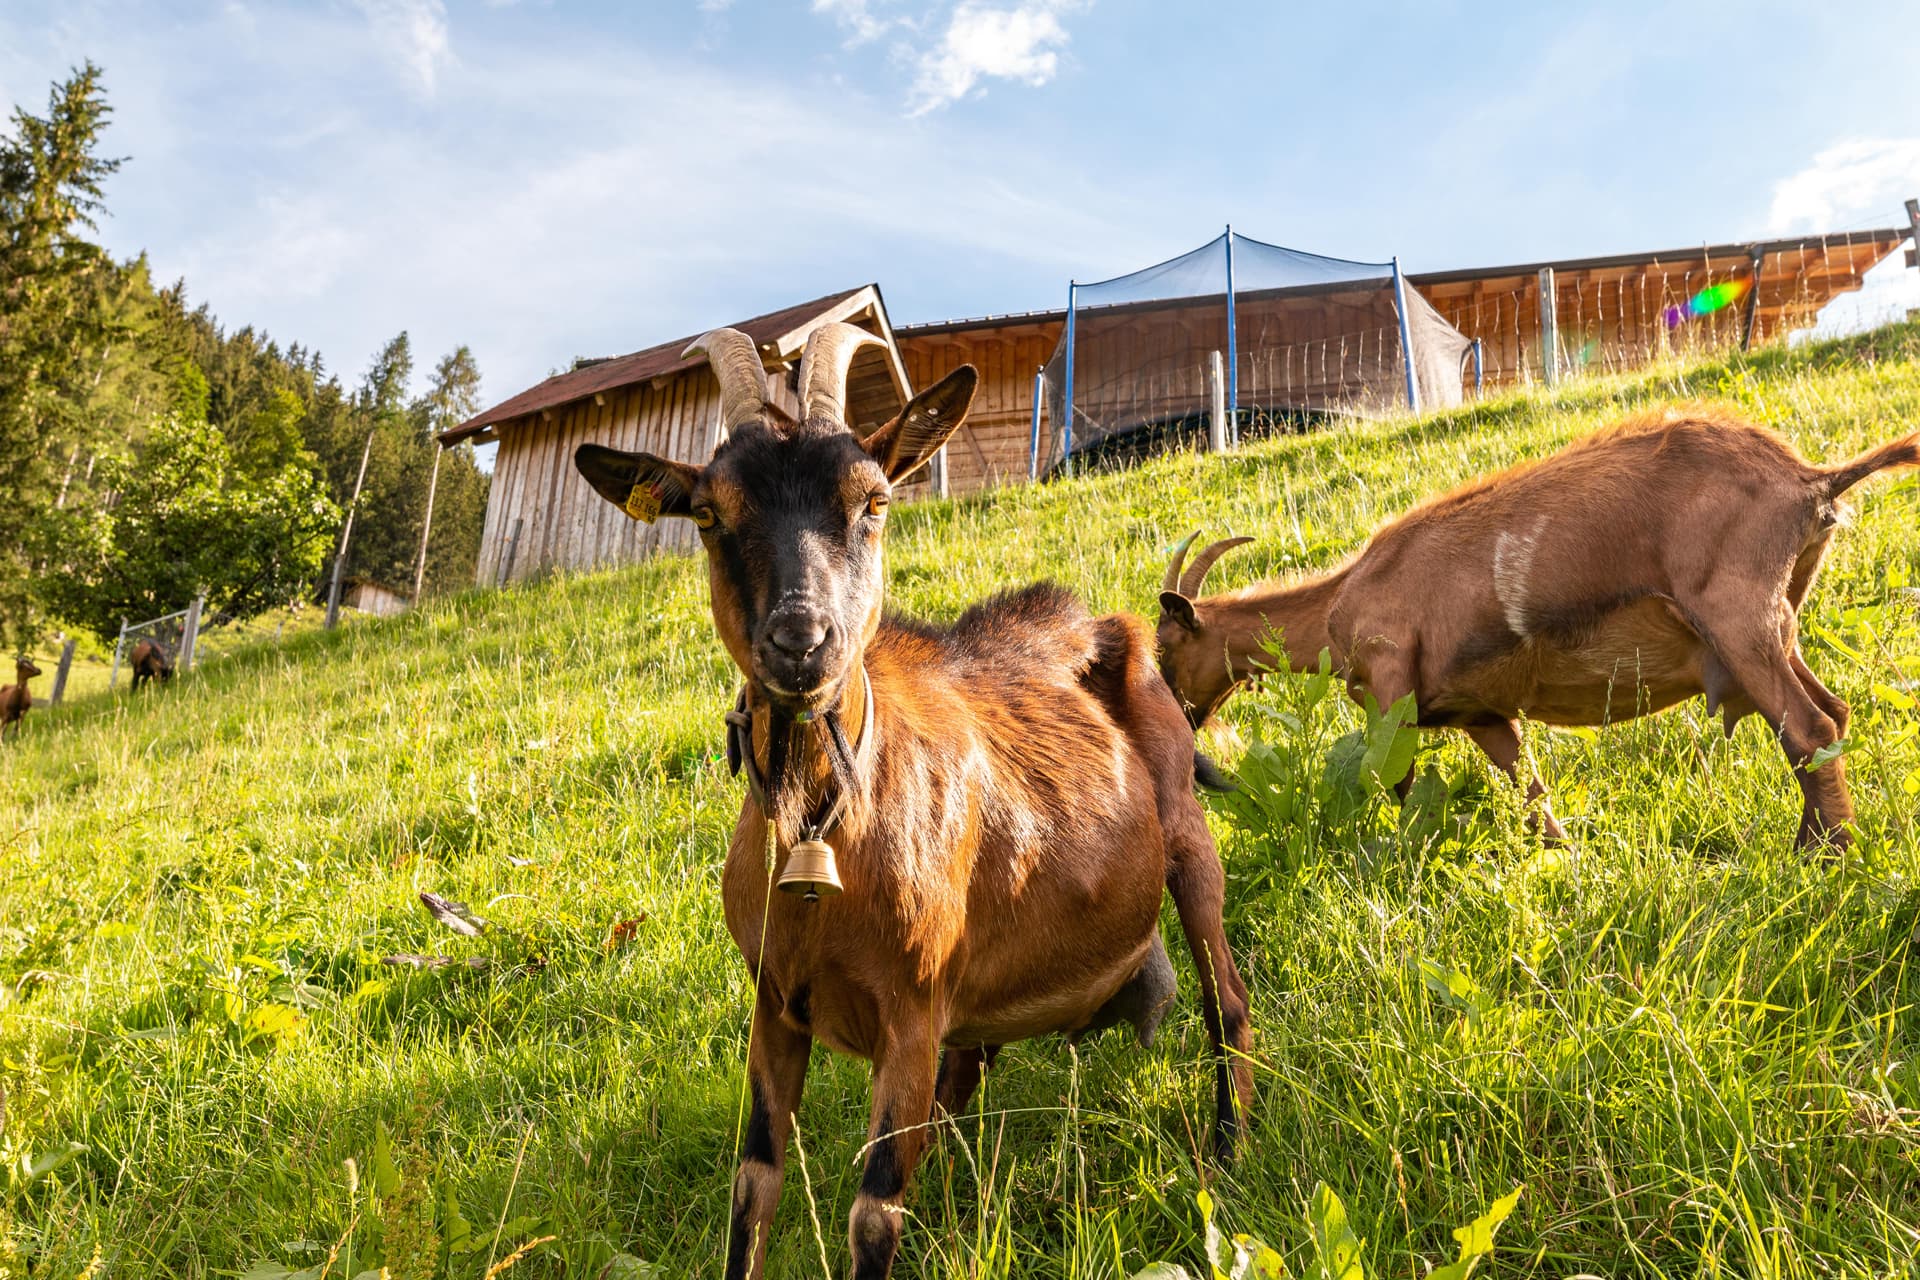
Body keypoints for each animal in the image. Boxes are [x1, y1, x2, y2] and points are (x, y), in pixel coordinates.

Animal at [574, 323, 1253, 1279]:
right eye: (708, 515)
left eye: (875, 502)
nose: (802, 641)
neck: (821, 836)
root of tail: (1100, 622)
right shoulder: (772, 1008)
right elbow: (753, 1187)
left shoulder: (913, 1010)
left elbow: (872, 1213)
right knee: (964, 1084)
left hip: (1190, 850)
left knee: (1227, 998)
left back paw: (1226, 1158)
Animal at [1156, 407, 1920, 851]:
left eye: (1165, 650)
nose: (1186, 728)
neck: (1342, 596)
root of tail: (1810, 480)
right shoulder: (1481, 712)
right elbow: (1528, 789)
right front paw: (1567, 860)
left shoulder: (1389, 692)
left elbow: (1398, 785)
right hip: (1778, 623)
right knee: (1833, 713)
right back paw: (1820, 840)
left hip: (1738, 620)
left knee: (1808, 729)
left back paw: (1824, 856)